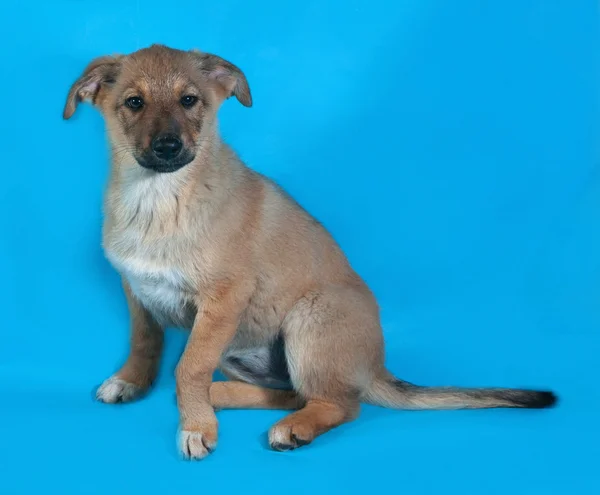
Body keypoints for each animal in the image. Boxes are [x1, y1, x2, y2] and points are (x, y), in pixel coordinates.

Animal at [63, 44, 556, 460]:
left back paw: (291, 426)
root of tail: (374, 368)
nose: (168, 147)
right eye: (134, 103)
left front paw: (196, 427)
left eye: (189, 101)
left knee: (340, 404)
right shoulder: (138, 291)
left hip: (310, 317)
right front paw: (132, 382)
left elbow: (188, 368)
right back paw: (226, 395)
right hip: (238, 347)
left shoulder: (223, 300)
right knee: (296, 392)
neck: (158, 198)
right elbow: (145, 343)